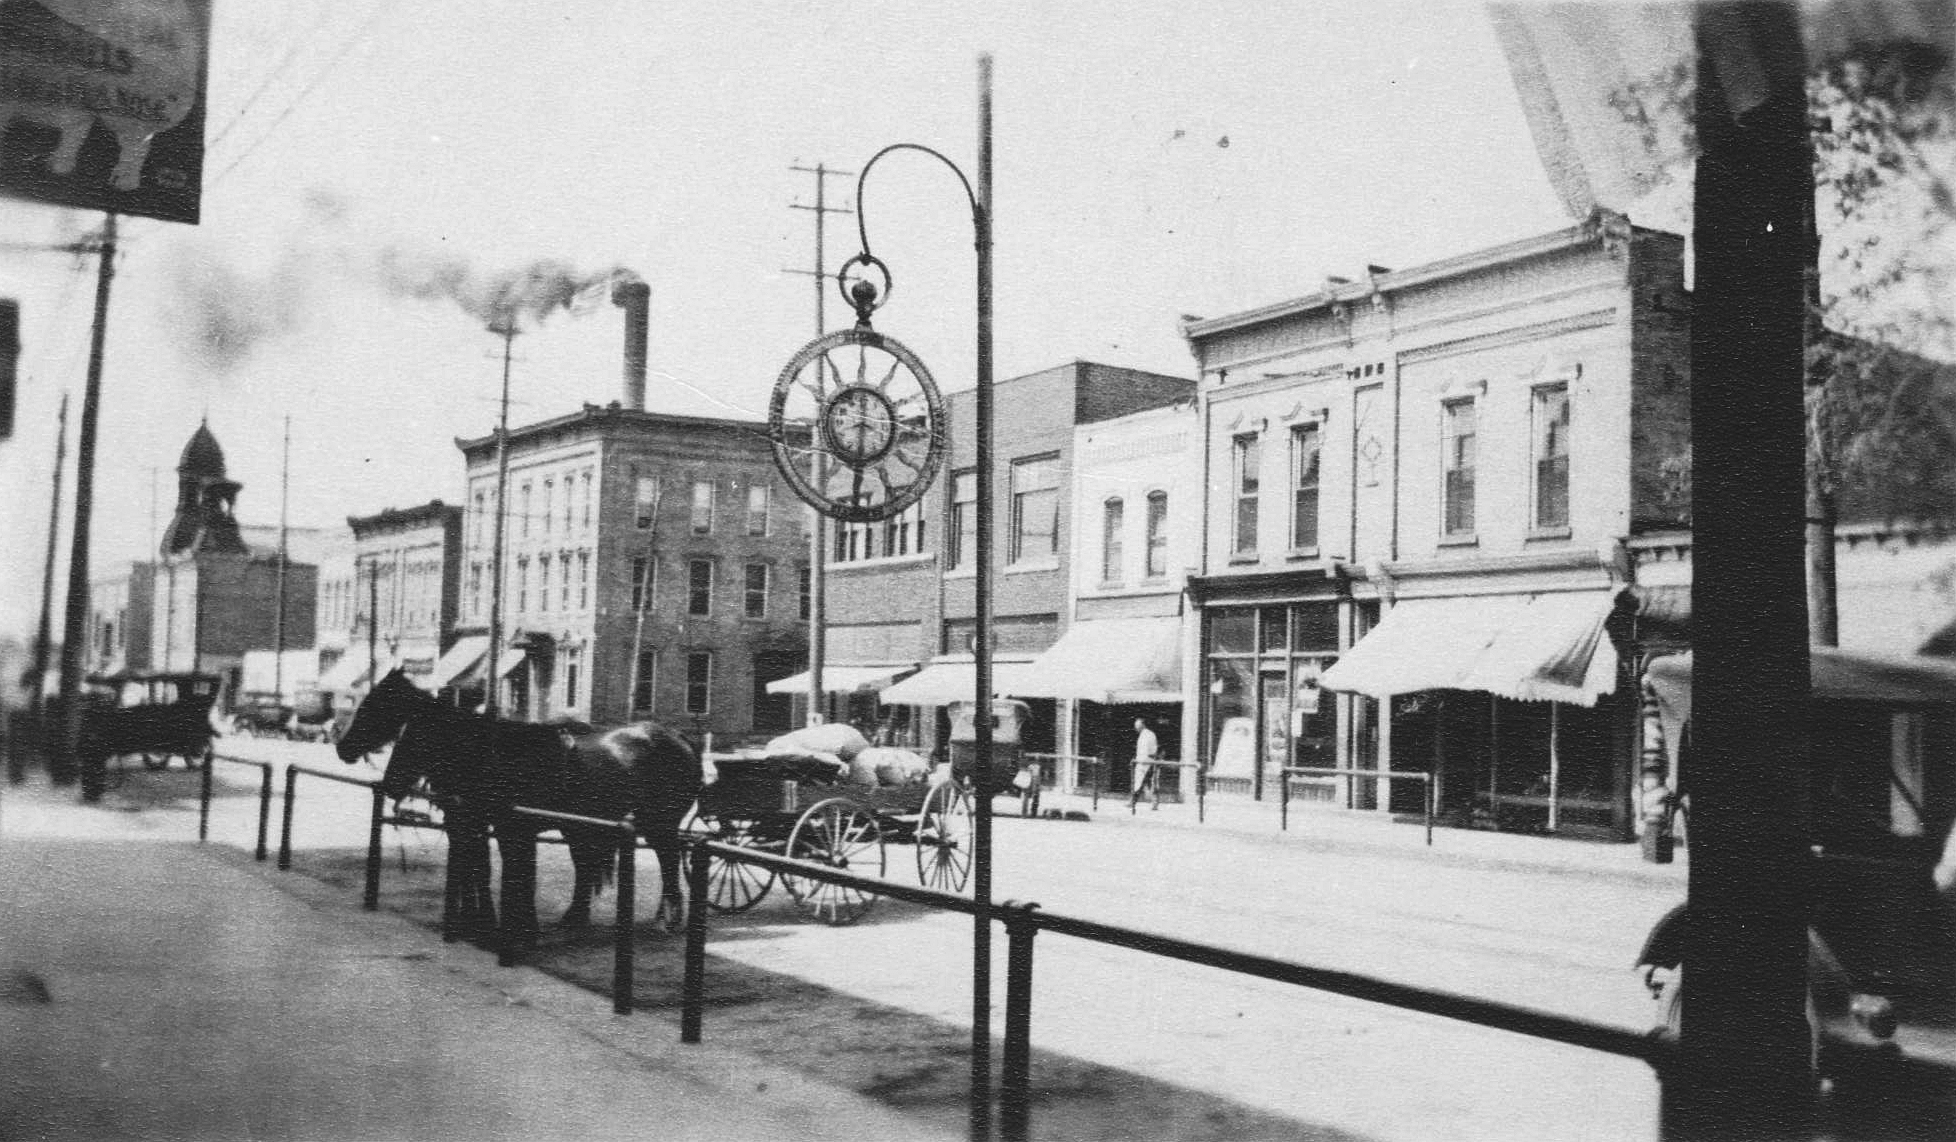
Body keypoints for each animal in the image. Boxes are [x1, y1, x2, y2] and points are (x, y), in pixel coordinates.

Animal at [336, 664, 704, 942]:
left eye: (373, 704)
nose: (342, 747)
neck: (488, 754)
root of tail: (679, 738)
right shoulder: (476, 824)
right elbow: (478, 868)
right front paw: (478, 920)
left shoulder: (505, 826)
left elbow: (504, 871)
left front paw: (503, 924)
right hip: (585, 827)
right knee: (592, 867)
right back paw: (581, 917)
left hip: (660, 824)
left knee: (669, 860)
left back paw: (668, 919)